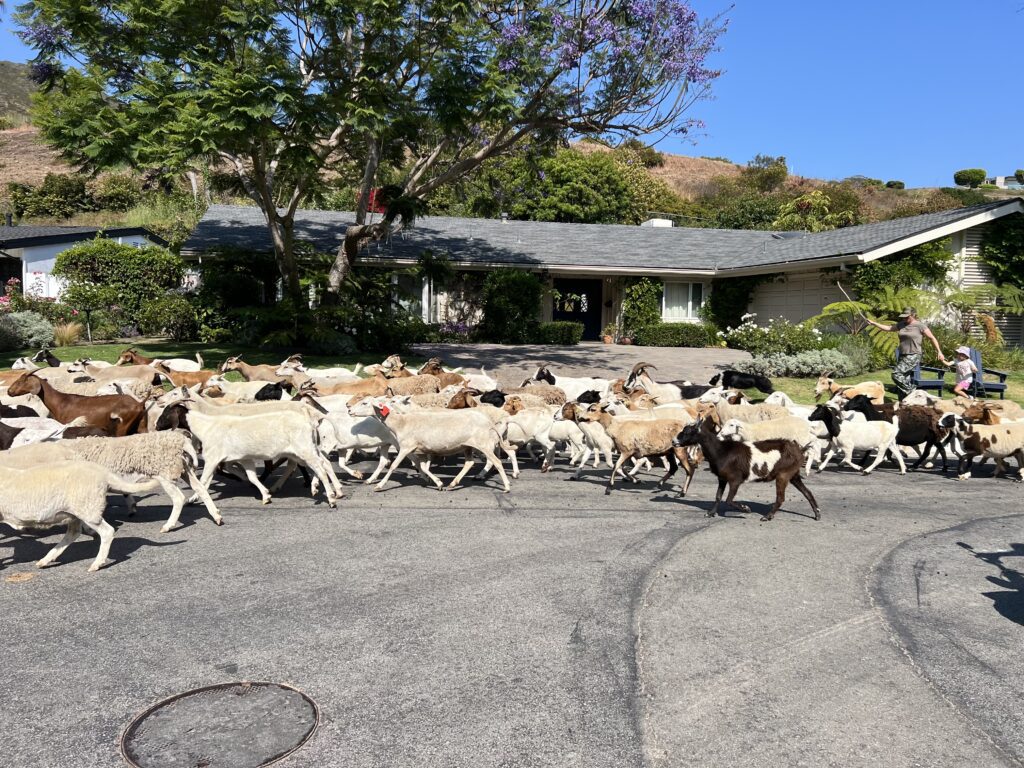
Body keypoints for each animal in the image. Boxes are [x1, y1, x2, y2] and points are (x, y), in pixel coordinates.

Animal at [6, 374, 147, 436]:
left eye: (21, 381)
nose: (9, 391)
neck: (61, 401)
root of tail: (139, 404)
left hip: (122, 427)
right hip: (141, 426)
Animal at [671, 421, 823, 524]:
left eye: (688, 432)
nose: (673, 441)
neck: (722, 451)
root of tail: (800, 450)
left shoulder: (735, 479)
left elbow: (729, 499)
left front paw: (745, 509)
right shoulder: (722, 478)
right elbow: (718, 496)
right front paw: (711, 513)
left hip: (783, 475)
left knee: (781, 498)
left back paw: (767, 517)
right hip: (793, 474)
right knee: (807, 492)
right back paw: (817, 514)